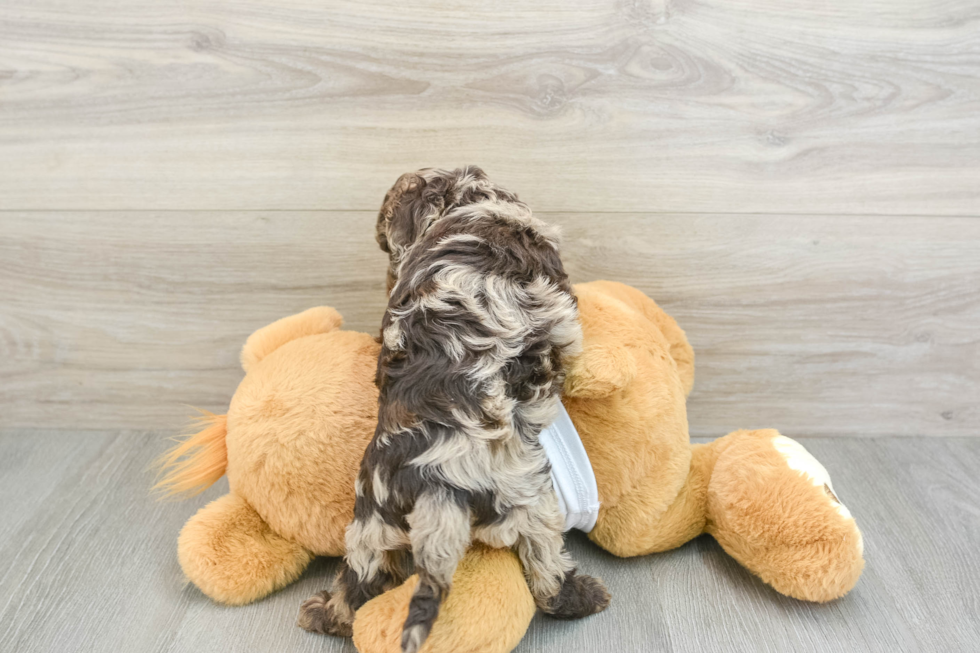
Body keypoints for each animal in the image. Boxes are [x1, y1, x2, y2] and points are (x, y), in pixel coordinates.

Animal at [294, 167, 608, 652]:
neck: (468, 203)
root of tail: (438, 482)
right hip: (532, 502)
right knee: (548, 570)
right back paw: (584, 597)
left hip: (373, 519)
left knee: (360, 582)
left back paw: (325, 614)